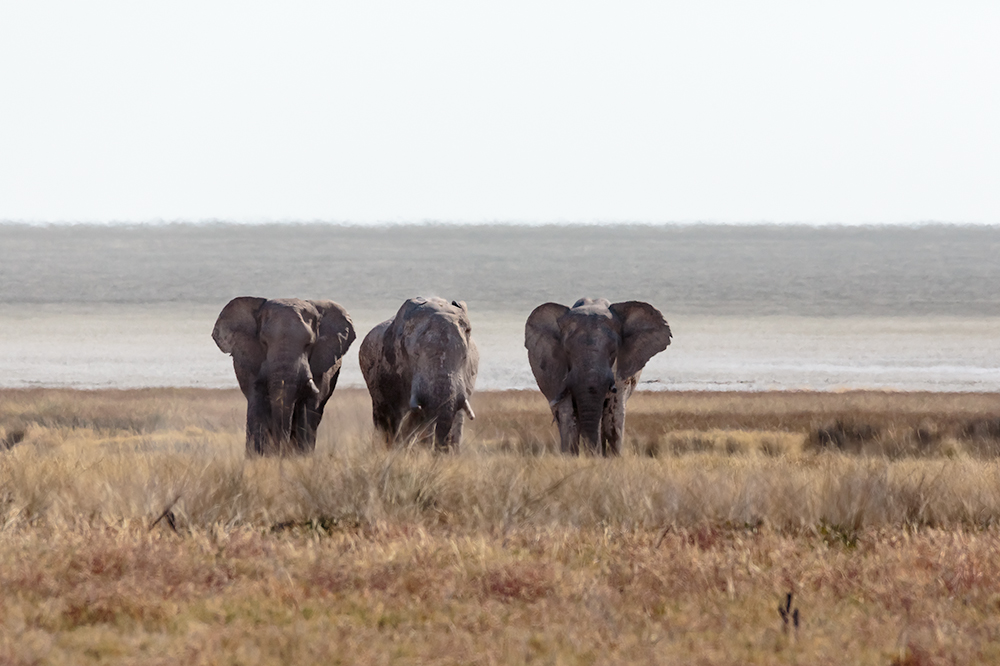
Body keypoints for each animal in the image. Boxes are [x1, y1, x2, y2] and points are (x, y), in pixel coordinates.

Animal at [211, 298, 356, 454]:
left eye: (309, 344)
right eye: (264, 342)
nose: (280, 450)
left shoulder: (321, 364)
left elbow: (309, 408)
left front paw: (300, 457)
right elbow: (257, 405)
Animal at [524, 298, 672, 454]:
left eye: (613, 351)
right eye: (567, 352)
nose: (593, 454)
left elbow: (614, 411)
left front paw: (613, 457)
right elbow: (567, 414)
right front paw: (570, 456)